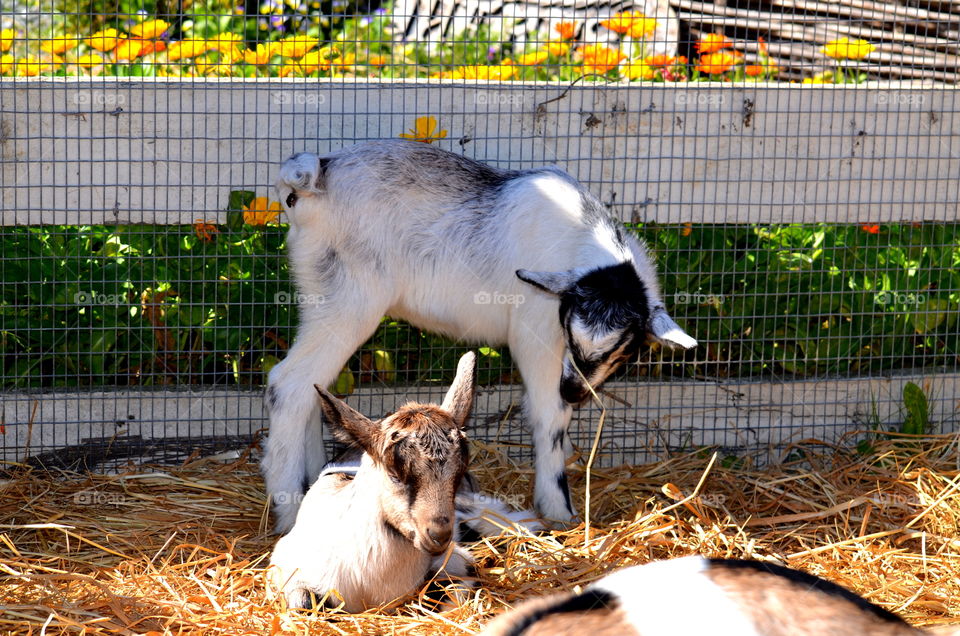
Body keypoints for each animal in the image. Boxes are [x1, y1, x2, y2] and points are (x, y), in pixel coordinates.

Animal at [264, 139, 696, 532]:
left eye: (622, 350)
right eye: (572, 338)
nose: (576, 391)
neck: (579, 241)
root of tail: (317, 173)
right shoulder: (536, 333)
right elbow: (549, 413)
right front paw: (559, 508)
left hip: (319, 296)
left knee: (311, 387)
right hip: (350, 302)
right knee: (288, 383)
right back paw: (288, 509)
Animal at [270, 352, 540, 612]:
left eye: (459, 471)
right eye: (394, 473)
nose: (439, 536)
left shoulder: (456, 562)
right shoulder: (285, 565)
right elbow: (302, 604)